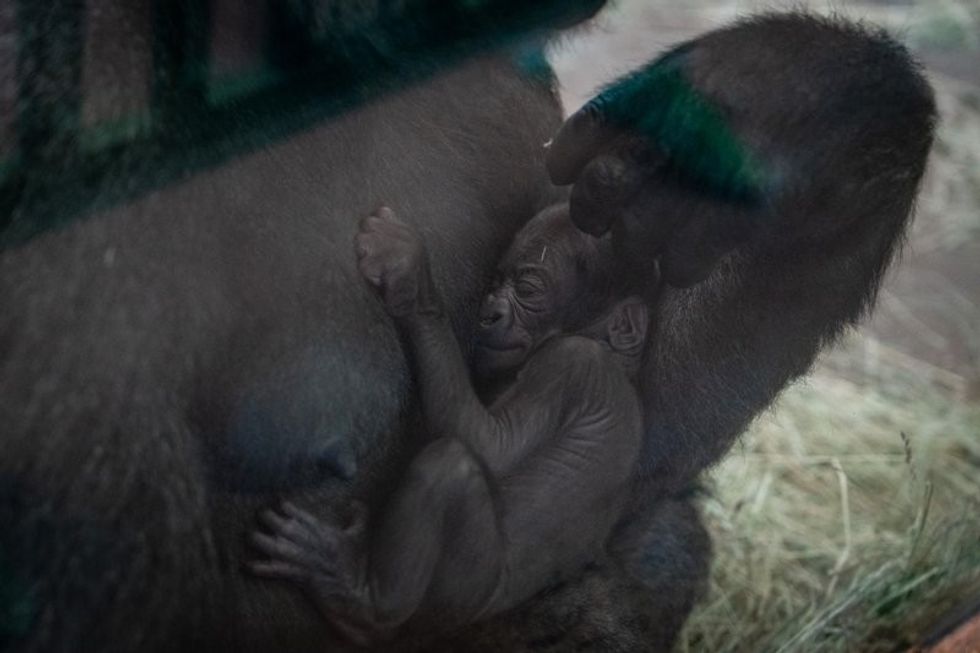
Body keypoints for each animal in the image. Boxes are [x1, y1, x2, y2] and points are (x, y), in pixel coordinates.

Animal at [248, 202, 650, 644]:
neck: (610, 352)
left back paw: (357, 600)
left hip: (456, 600)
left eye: (528, 289)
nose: (490, 311)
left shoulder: (573, 365)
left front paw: (409, 278)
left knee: (449, 465)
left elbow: (491, 445)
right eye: (496, 282)